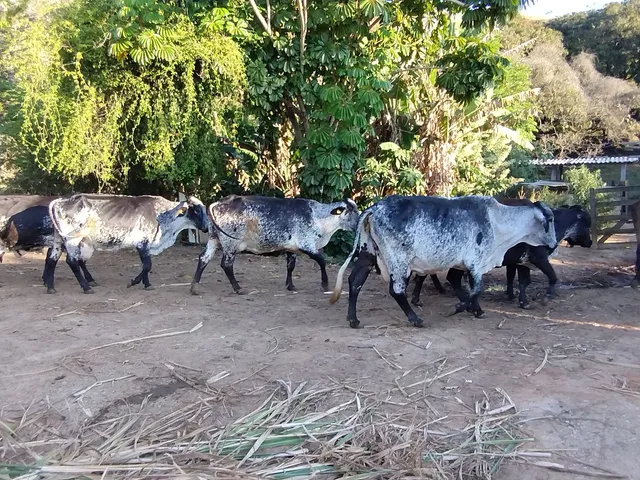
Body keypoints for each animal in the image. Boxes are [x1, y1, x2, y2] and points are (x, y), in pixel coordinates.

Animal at [44, 194, 213, 294]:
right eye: (196, 211)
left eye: (204, 209)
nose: (206, 228)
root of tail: (60, 200)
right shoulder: (142, 243)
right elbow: (147, 265)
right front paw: (133, 282)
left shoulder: (146, 246)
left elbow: (146, 266)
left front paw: (147, 284)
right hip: (72, 240)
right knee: (71, 261)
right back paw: (86, 287)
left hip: (59, 239)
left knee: (52, 258)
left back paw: (50, 287)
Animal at [190, 195, 360, 295]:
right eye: (350, 211)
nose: (359, 224)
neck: (319, 217)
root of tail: (219, 202)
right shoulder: (307, 245)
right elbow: (322, 261)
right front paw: (324, 285)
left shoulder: (292, 248)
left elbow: (290, 266)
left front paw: (290, 286)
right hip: (231, 245)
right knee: (226, 265)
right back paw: (238, 288)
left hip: (214, 239)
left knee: (203, 258)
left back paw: (194, 287)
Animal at [329, 195, 557, 329]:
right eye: (551, 219)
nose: (554, 245)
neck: (497, 221)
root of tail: (374, 208)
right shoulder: (475, 263)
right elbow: (476, 290)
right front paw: (458, 309)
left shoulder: (461, 265)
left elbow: (465, 287)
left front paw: (475, 310)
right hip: (399, 261)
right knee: (396, 291)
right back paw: (416, 319)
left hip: (367, 254)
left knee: (355, 282)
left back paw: (353, 320)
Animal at [411, 202, 593, 308]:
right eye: (587, 224)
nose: (590, 242)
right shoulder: (538, 258)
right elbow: (552, 276)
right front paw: (546, 297)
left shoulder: (521, 262)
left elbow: (521, 281)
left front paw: (520, 300)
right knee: (440, 277)